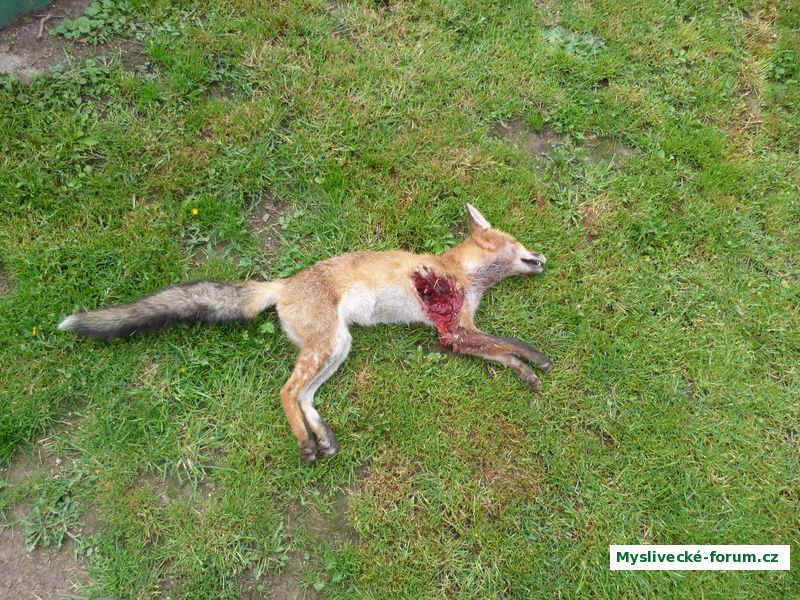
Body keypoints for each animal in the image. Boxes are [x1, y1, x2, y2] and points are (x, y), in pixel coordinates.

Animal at [59, 204, 551, 462]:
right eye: (520, 244)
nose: (543, 257)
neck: (461, 274)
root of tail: (282, 283)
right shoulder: (453, 331)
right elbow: (511, 342)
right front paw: (539, 359)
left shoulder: (457, 333)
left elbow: (500, 352)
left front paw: (525, 373)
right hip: (327, 346)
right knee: (285, 392)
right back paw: (305, 444)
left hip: (336, 348)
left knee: (304, 395)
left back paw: (322, 437)